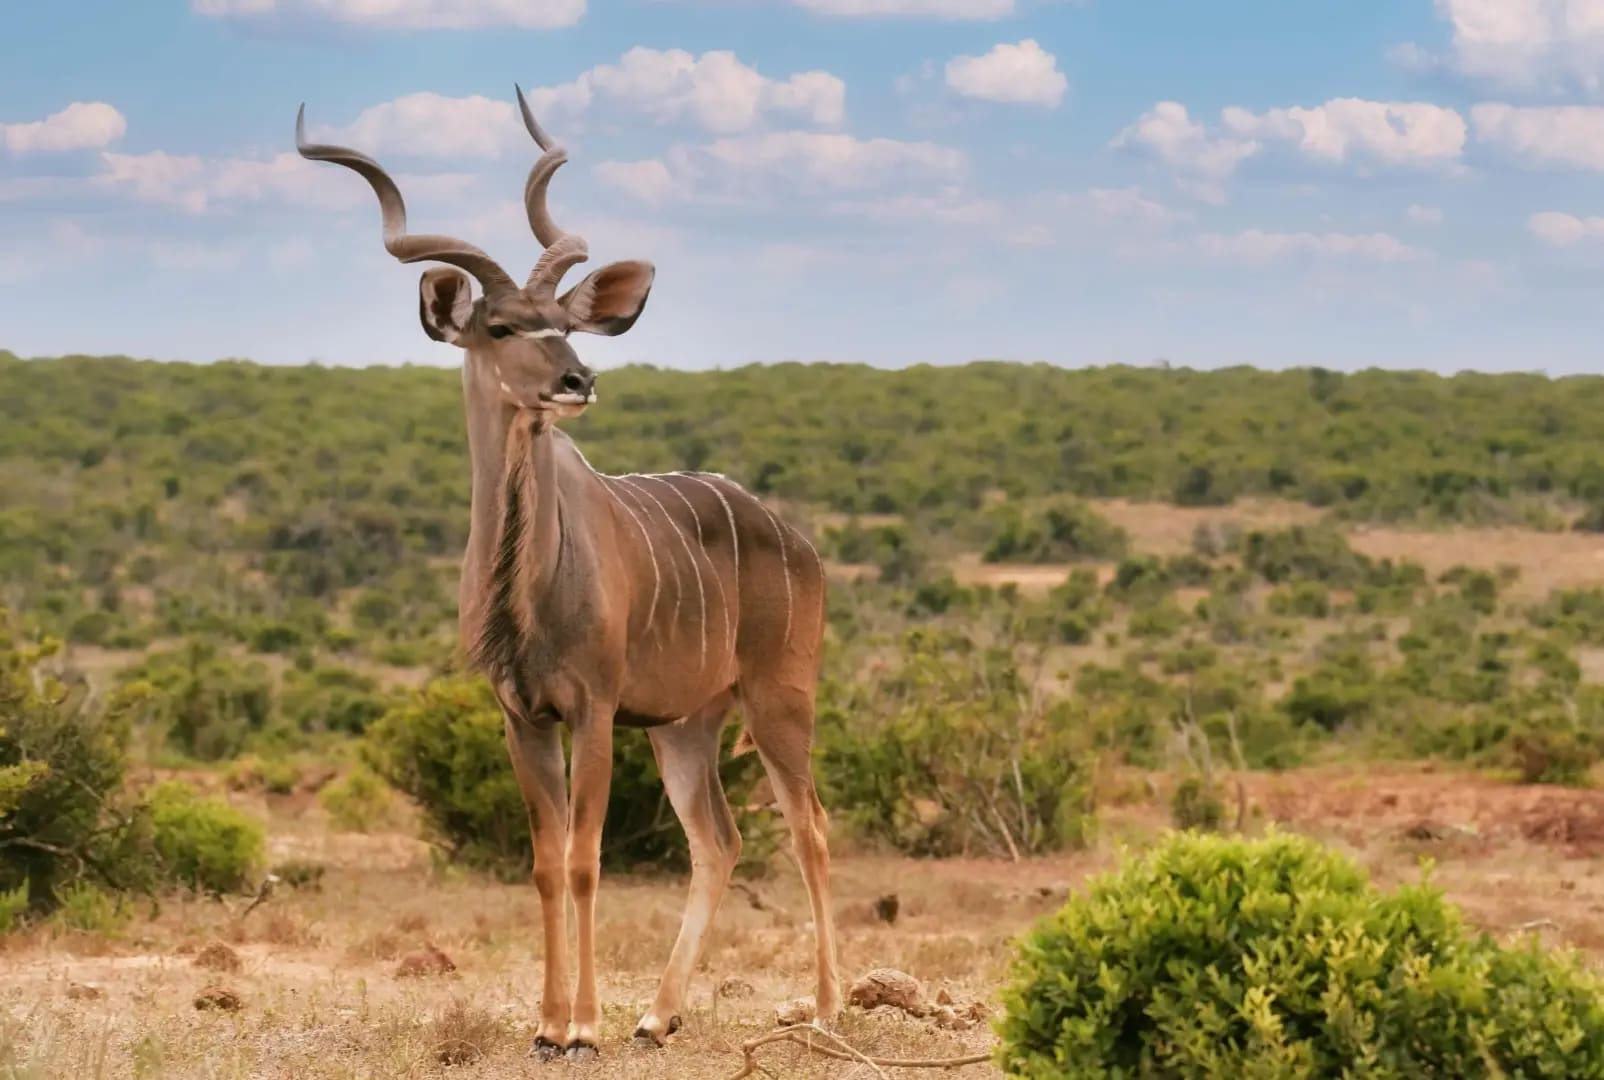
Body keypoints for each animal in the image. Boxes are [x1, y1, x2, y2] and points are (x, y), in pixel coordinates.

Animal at [294, 89, 840, 1060]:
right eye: (502, 327)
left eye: (569, 324)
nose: (578, 380)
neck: (528, 592)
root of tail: (796, 539)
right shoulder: (521, 715)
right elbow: (547, 864)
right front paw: (549, 1025)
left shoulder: (592, 709)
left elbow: (586, 860)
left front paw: (582, 1025)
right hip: (687, 725)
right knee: (719, 840)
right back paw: (657, 1016)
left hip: (778, 699)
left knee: (809, 828)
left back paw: (822, 1010)